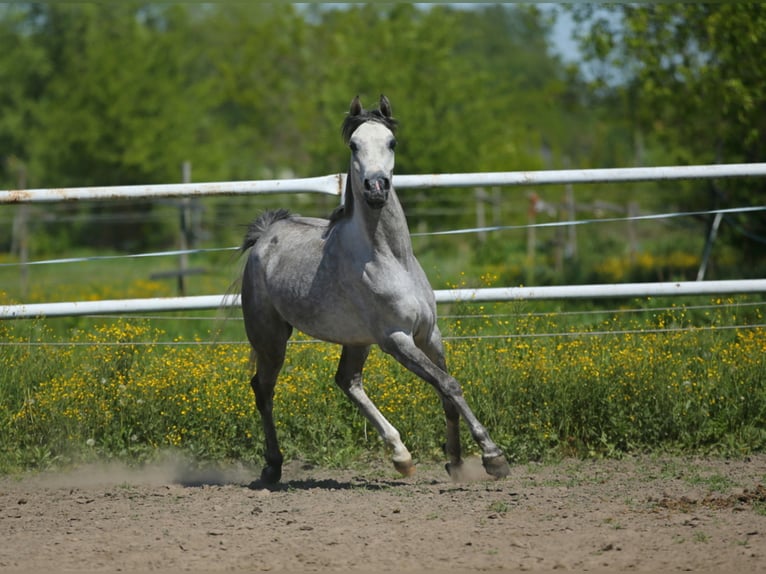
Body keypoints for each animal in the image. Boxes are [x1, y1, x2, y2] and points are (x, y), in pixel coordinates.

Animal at [240, 97, 510, 484]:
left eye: (391, 142)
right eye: (354, 145)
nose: (376, 187)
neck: (391, 258)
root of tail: (265, 235)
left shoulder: (429, 334)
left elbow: (446, 389)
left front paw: (456, 463)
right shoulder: (396, 338)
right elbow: (448, 384)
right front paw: (493, 457)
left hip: (356, 341)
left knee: (347, 381)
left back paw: (402, 457)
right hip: (270, 338)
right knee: (263, 390)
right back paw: (272, 467)